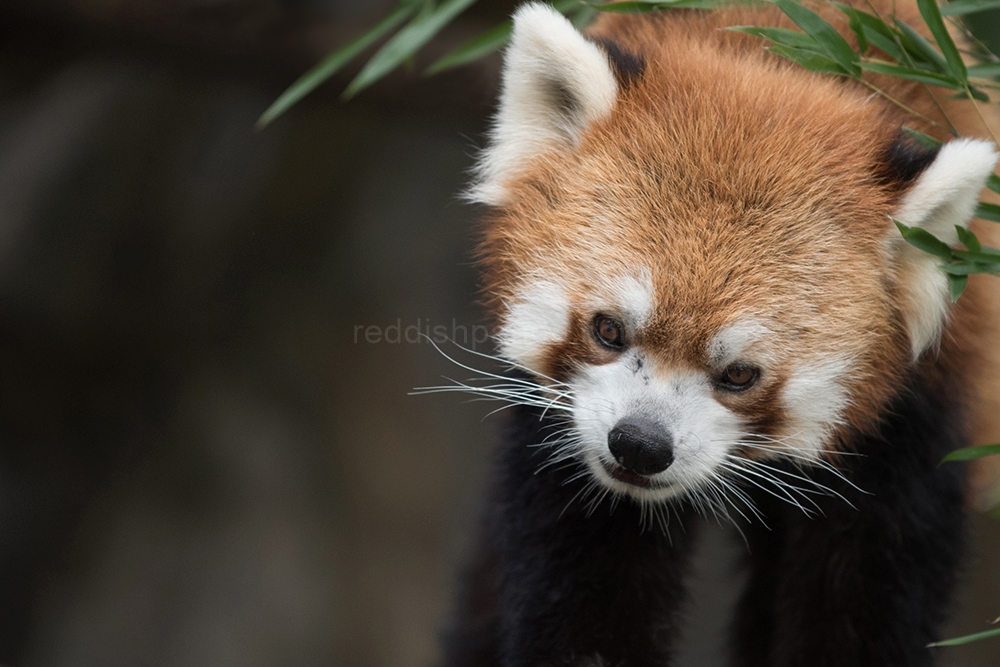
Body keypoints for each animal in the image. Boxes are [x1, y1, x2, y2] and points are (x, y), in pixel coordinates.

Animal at [442, 2, 1000, 664]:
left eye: (739, 374)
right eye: (608, 330)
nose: (640, 445)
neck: (778, 58)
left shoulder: (915, 421)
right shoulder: (563, 432)